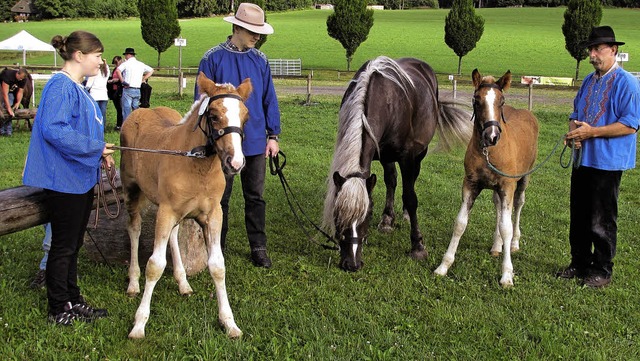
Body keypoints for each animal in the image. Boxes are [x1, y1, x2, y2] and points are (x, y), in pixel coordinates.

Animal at [120, 71, 252, 338]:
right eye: (214, 115)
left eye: (245, 116)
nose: (235, 163)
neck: (198, 165)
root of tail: (140, 111)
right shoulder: (165, 211)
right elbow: (155, 265)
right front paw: (139, 323)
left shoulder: (213, 214)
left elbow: (218, 266)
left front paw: (229, 322)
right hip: (132, 191)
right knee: (134, 229)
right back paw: (133, 282)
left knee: (173, 235)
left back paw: (183, 282)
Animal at [322, 56, 472, 270]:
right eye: (338, 215)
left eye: (366, 216)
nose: (351, 264)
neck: (384, 100)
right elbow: (387, 184)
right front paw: (386, 220)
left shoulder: (407, 157)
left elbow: (410, 197)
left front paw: (418, 246)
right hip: (387, 156)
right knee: (391, 181)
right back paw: (387, 219)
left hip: (418, 154)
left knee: (410, 184)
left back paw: (406, 215)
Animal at [436, 69, 540, 286]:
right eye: (476, 100)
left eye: (501, 101)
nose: (491, 136)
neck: (489, 152)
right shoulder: (470, 184)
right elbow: (460, 223)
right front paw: (444, 266)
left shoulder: (507, 185)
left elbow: (506, 227)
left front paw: (507, 274)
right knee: (498, 206)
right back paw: (496, 246)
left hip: (523, 179)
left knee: (518, 205)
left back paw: (514, 243)